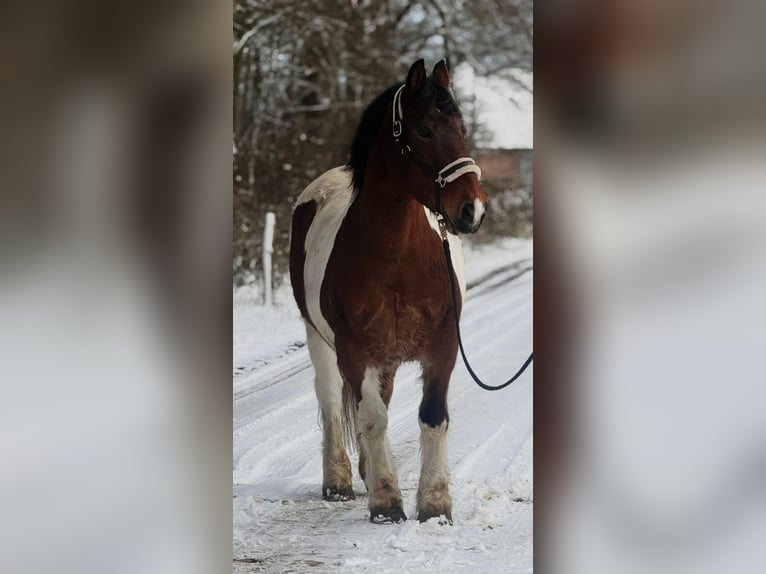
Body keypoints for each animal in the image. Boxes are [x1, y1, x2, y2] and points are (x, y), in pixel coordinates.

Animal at [289, 59, 487, 524]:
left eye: (461, 127)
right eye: (423, 130)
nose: (472, 210)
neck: (396, 257)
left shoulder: (443, 346)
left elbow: (432, 417)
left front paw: (434, 504)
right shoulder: (354, 350)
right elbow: (371, 418)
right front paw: (386, 501)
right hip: (318, 337)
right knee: (332, 400)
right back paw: (339, 480)